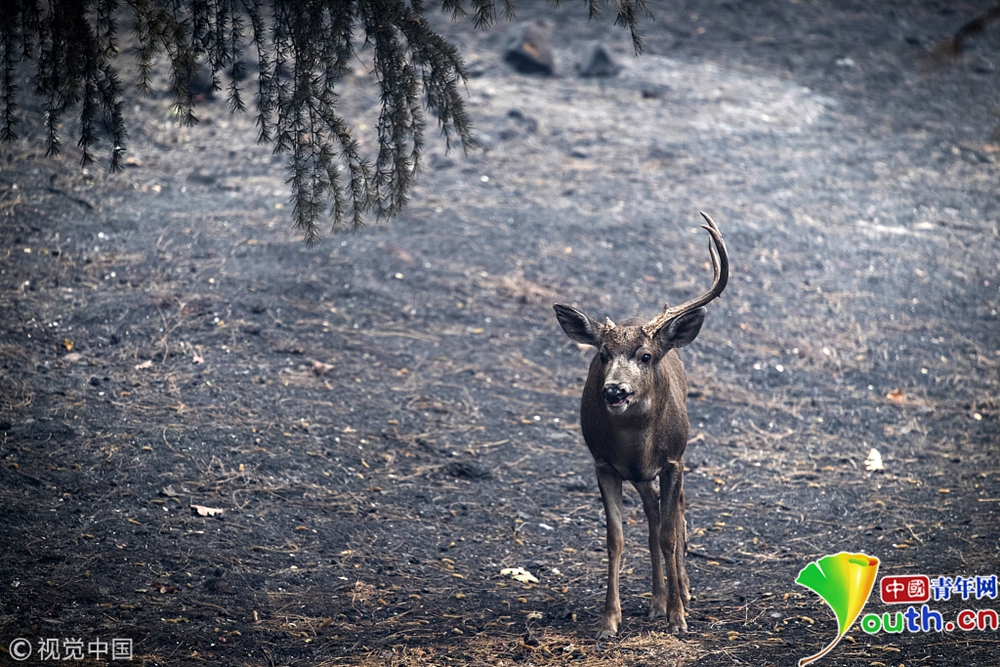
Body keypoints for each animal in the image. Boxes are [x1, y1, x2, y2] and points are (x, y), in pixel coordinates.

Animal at [556, 211, 728, 640]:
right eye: (602, 354)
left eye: (646, 355)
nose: (614, 390)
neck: (638, 443)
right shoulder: (604, 464)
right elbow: (615, 538)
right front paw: (608, 621)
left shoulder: (673, 461)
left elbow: (669, 533)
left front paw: (679, 618)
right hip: (637, 476)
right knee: (651, 517)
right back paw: (656, 602)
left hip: (675, 461)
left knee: (675, 516)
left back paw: (682, 593)